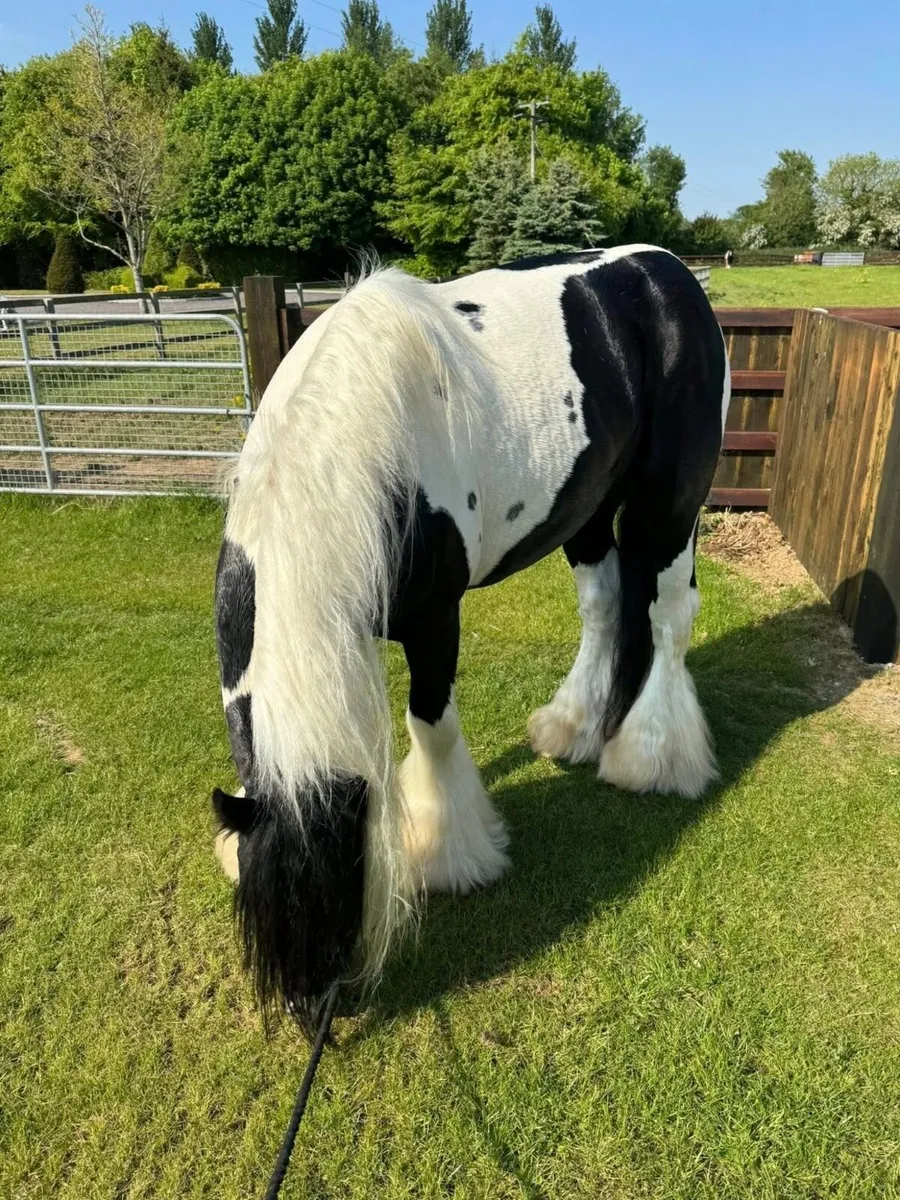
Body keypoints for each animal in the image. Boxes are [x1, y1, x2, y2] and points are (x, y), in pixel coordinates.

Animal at [211, 245, 730, 1034]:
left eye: (341, 893)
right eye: (266, 913)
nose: (315, 1013)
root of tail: (667, 272)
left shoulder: (434, 620)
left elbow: (431, 726)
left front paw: (449, 854)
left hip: (669, 507)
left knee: (667, 619)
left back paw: (649, 759)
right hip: (585, 513)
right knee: (606, 609)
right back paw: (571, 728)